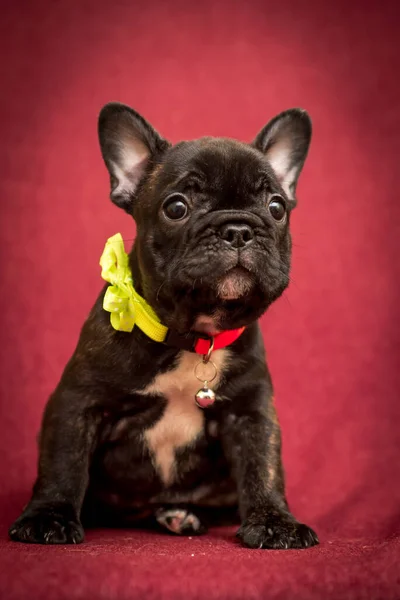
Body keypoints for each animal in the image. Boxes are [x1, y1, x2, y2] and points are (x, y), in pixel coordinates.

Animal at [8, 103, 318, 548]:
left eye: (276, 208)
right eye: (176, 207)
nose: (239, 229)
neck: (193, 338)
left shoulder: (251, 412)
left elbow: (264, 466)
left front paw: (276, 521)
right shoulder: (77, 403)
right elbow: (64, 462)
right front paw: (48, 516)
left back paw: (180, 515)